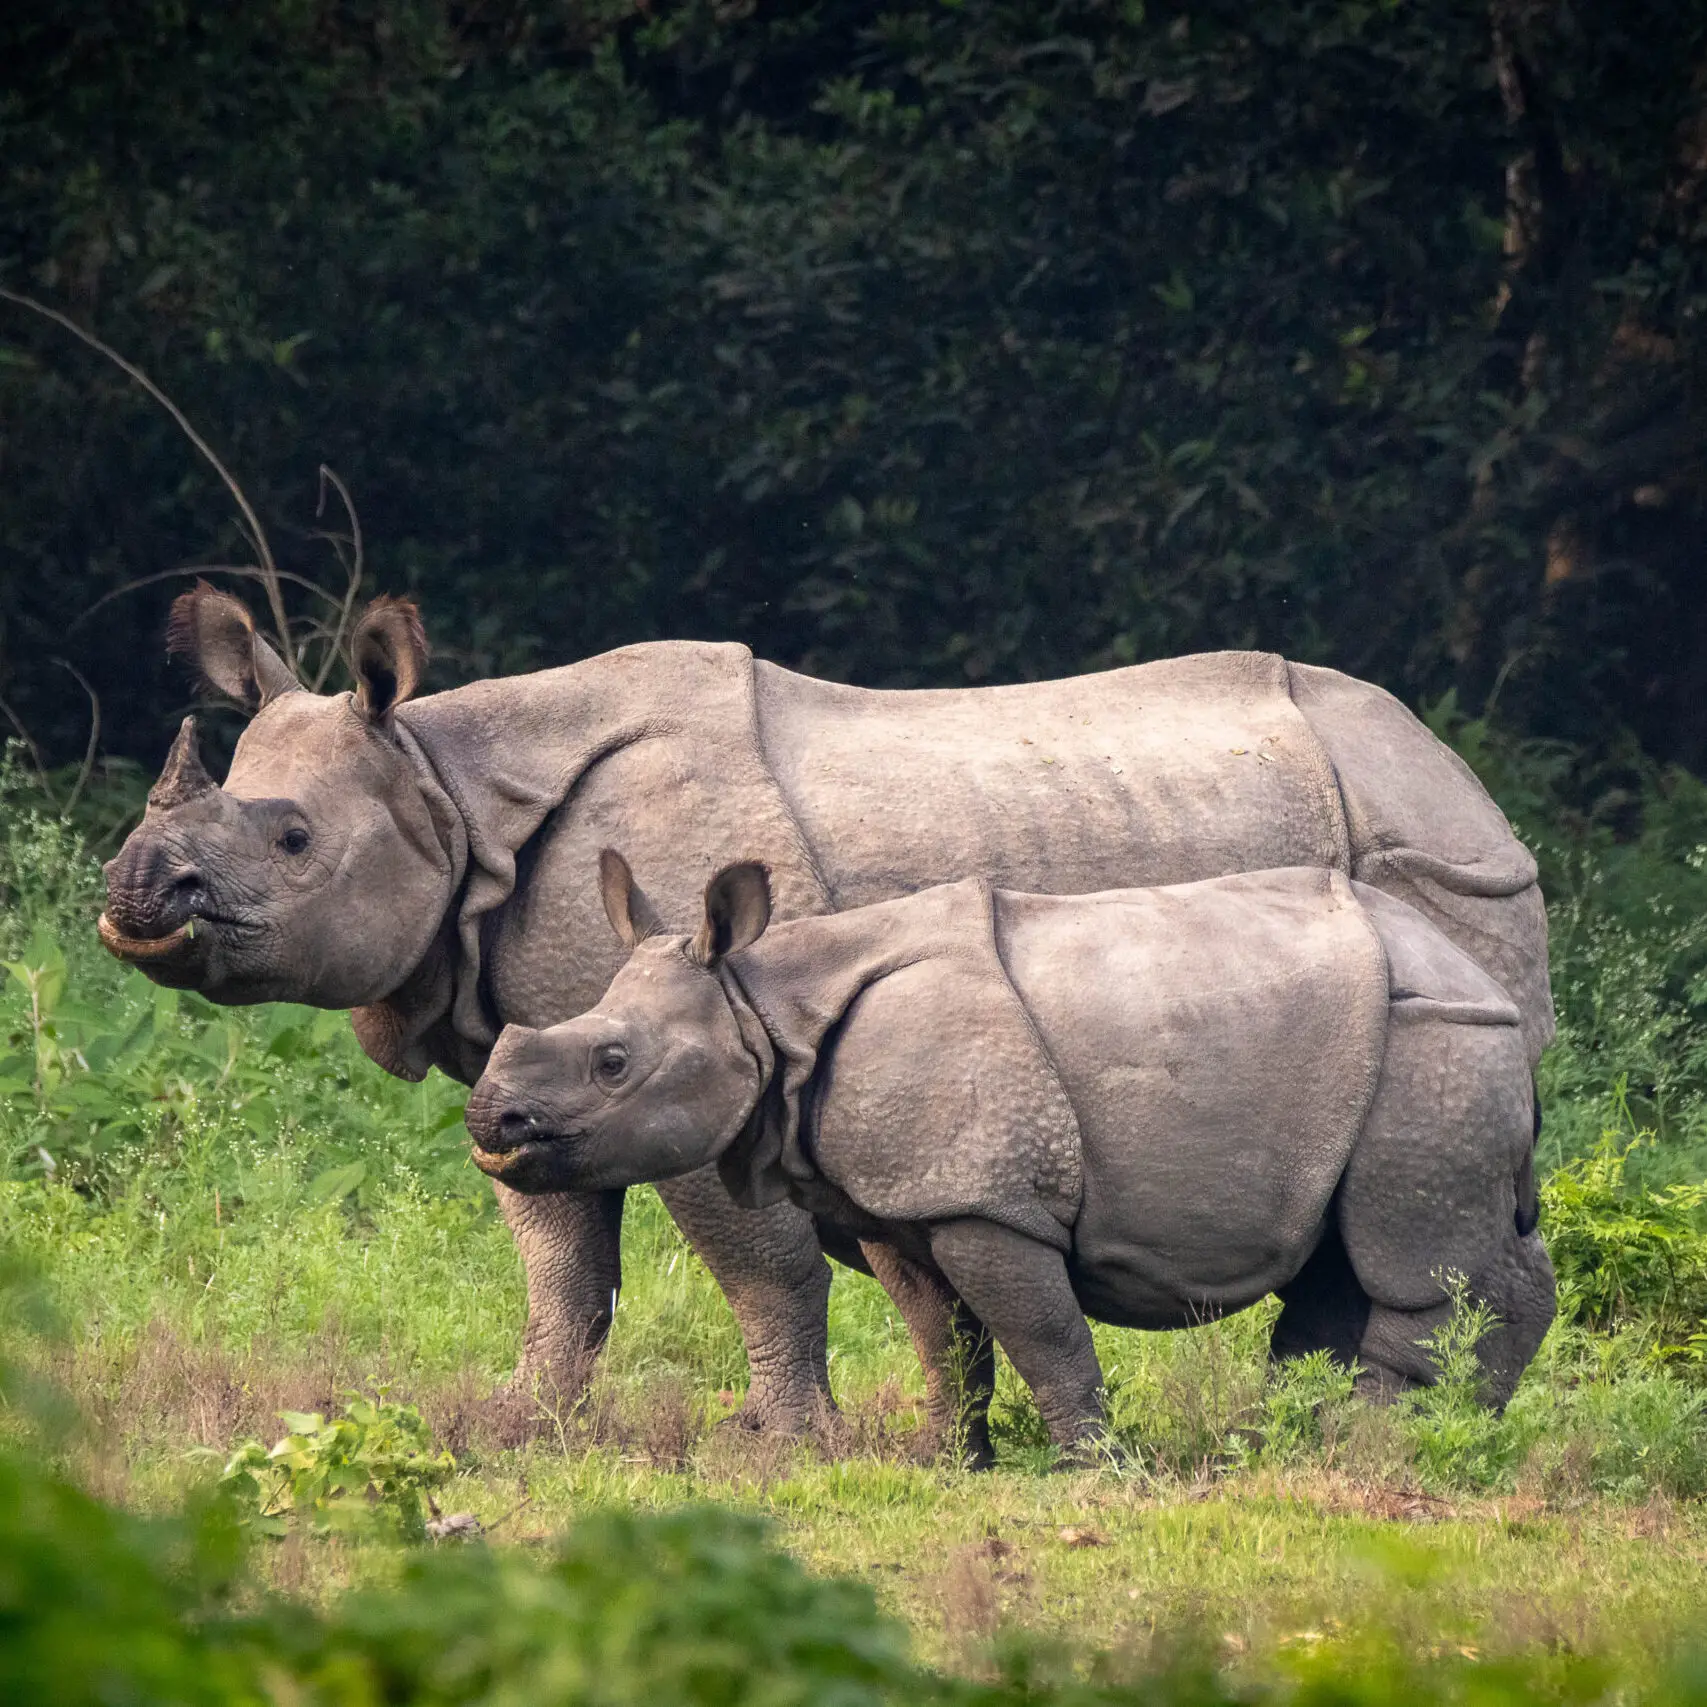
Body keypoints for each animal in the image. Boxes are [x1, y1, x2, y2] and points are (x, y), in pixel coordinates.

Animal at [463, 855, 1557, 1449]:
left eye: (612, 1062)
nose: (489, 1122)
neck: (766, 1007)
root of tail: (1479, 975)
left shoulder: (985, 1196)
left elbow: (1041, 1330)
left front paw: (1090, 1464)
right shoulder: (906, 1198)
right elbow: (943, 1335)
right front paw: (944, 1458)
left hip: (1432, 1041)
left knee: (1417, 1262)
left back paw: (1381, 1443)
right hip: (1398, 1047)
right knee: (1347, 1257)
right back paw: (1325, 1436)